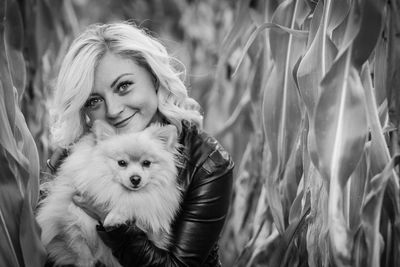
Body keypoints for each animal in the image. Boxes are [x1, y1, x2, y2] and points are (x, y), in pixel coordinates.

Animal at [35, 122, 182, 267]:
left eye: (147, 163)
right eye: (121, 163)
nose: (135, 178)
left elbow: (134, 206)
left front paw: (114, 217)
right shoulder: (70, 220)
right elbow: (80, 250)